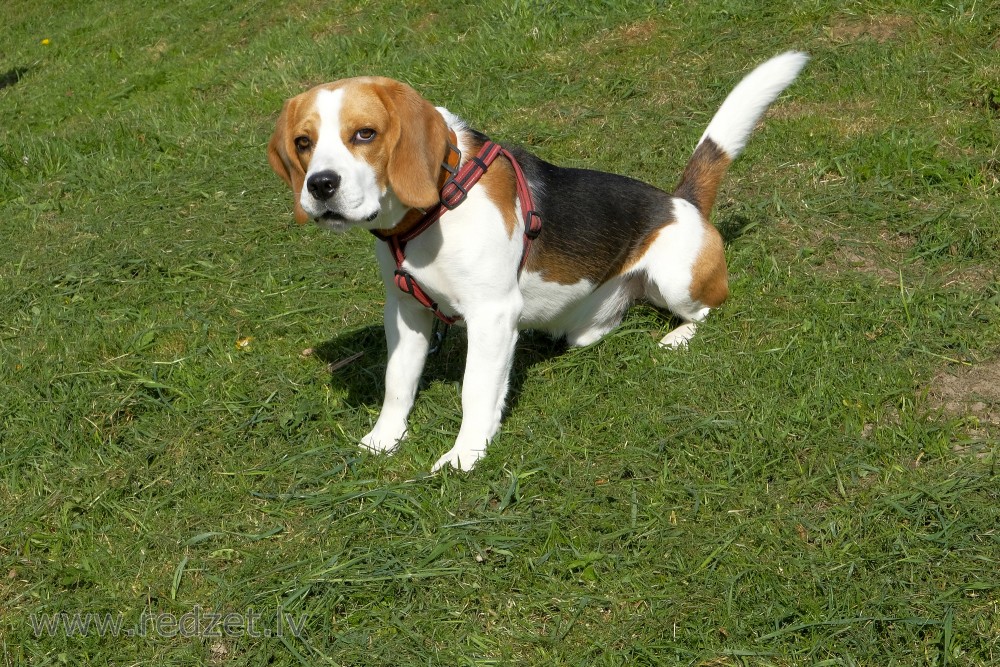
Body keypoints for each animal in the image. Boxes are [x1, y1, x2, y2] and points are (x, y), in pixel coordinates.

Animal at [270, 51, 808, 470]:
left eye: (365, 134)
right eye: (303, 143)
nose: (320, 186)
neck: (436, 205)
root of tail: (681, 202)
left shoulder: (491, 314)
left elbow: (475, 389)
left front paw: (465, 455)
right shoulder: (406, 309)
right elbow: (397, 381)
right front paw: (385, 439)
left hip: (679, 277)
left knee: (708, 308)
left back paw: (678, 336)